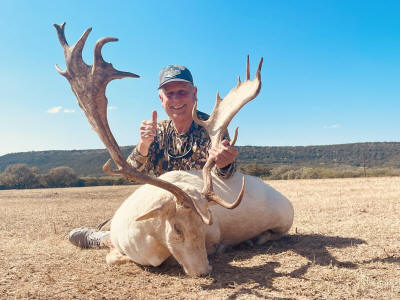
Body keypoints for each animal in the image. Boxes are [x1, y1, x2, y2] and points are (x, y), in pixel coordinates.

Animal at [54, 23, 294, 276]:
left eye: (206, 224)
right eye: (177, 229)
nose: (203, 271)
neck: (143, 244)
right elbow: (112, 255)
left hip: (284, 220)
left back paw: (252, 239)